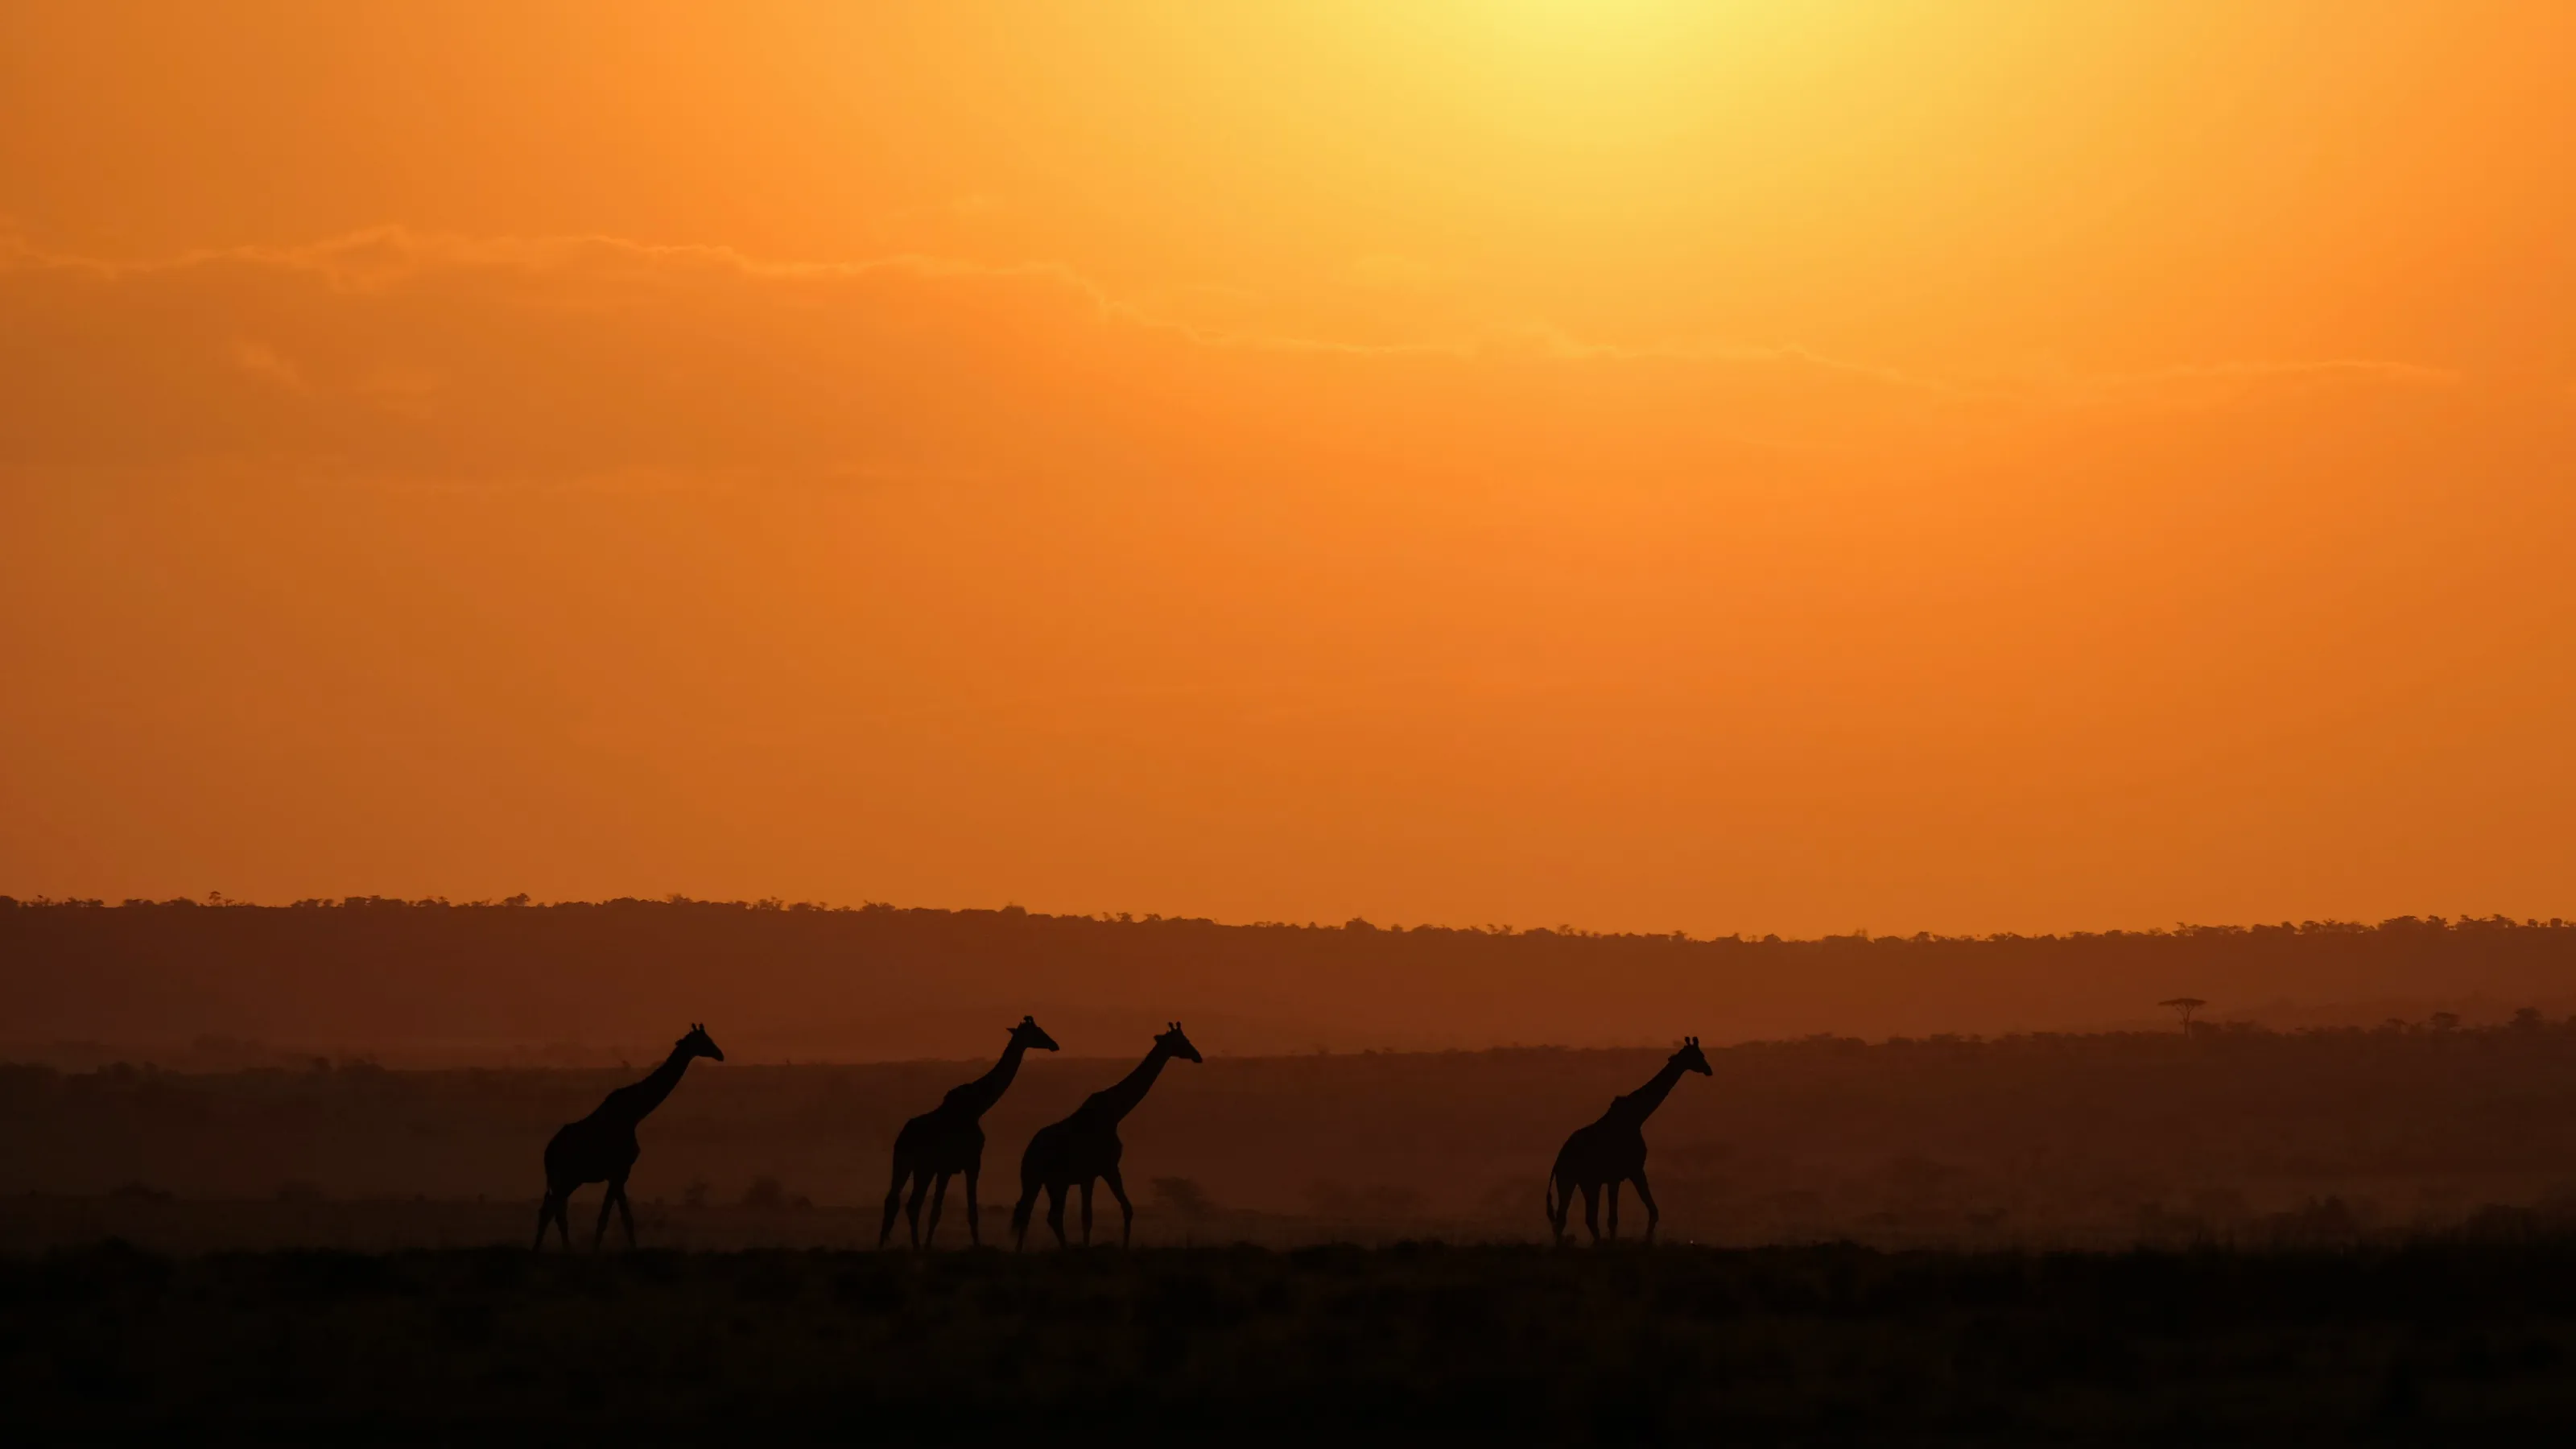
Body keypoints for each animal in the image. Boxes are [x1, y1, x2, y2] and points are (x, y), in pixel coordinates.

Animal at [532, 1023, 724, 1251]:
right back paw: (544, 1251)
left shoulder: (621, 1173)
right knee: (550, 1211)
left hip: (569, 1180)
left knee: (556, 1212)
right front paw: (601, 1252)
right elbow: (611, 1218)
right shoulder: (619, 1170)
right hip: (564, 1178)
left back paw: (561, 1251)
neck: (635, 1113)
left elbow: (622, 1218)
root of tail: (547, 1153)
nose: (720, 1055)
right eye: (704, 1040)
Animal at [879, 1014, 1061, 1249]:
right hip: (918, 1166)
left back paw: (889, 1245)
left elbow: (954, 1210)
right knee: (909, 1204)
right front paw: (970, 1246)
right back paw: (914, 1247)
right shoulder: (964, 1164)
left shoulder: (954, 1166)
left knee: (898, 1201)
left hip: (910, 1165)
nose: (1054, 1044)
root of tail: (902, 1137)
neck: (977, 1107)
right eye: (1036, 1031)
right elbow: (950, 1211)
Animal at [1010, 1022, 1202, 1249]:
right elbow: (1095, 1215)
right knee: (1038, 1215)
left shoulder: (1097, 1173)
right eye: (1183, 1040)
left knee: (1041, 1215)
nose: (1198, 1056)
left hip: (1050, 1182)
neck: (1115, 1114)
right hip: (1042, 1180)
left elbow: (1116, 1211)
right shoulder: (1102, 1169)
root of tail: (1028, 1151)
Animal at [1545, 1036, 1710, 1246]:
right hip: (1573, 1181)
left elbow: (1624, 1216)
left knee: (1575, 1218)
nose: (1709, 1070)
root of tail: (1557, 1162)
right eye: (1698, 1055)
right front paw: (1645, 1241)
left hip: (1583, 1183)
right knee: (1569, 1219)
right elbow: (1642, 1213)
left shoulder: (1617, 1176)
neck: (1637, 1117)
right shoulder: (1632, 1170)